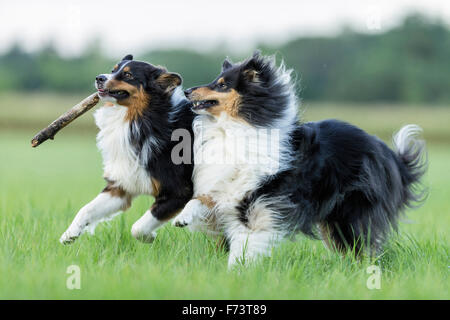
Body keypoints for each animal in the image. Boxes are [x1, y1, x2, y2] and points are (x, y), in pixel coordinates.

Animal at [59, 55, 193, 244]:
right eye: (113, 70)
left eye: (128, 75)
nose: (99, 78)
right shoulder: (121, 186)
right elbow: (87, 208)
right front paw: (70, 233)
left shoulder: (178, 191)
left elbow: (137, 227)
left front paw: (149, 237)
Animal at [174, 52, 428, 268]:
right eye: (215, 80)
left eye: (223, 85)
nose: (187, 91)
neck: (236, 127)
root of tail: (388, 154)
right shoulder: (224, 186)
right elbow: (199, 200)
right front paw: (181, 218)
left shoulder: (259, 202)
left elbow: (246, 239)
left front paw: (236, 269)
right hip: (333, 221)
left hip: (350, 216)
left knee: (362, 248)